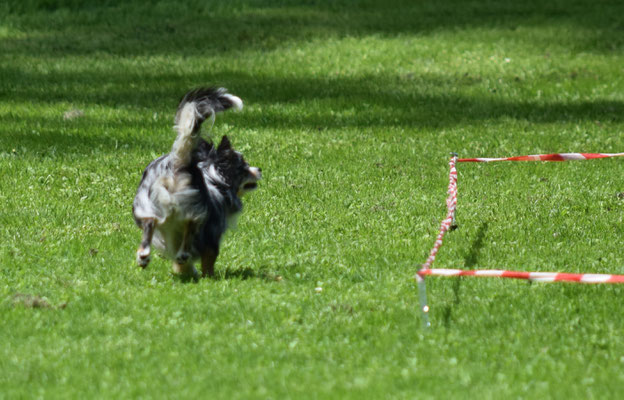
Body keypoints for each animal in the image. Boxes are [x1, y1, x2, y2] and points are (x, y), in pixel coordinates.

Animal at [132, 87, 260, 278]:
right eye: (244, 167)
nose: (259, 169)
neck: (214, 179)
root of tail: (178, 164)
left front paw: (186, 271)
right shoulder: (212, 237)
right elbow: (209, 259)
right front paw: (209, 278)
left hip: (145, 204)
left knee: (149, 223)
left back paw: (144, 255)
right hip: (195, 209)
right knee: (191, 225)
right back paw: (182, 253)